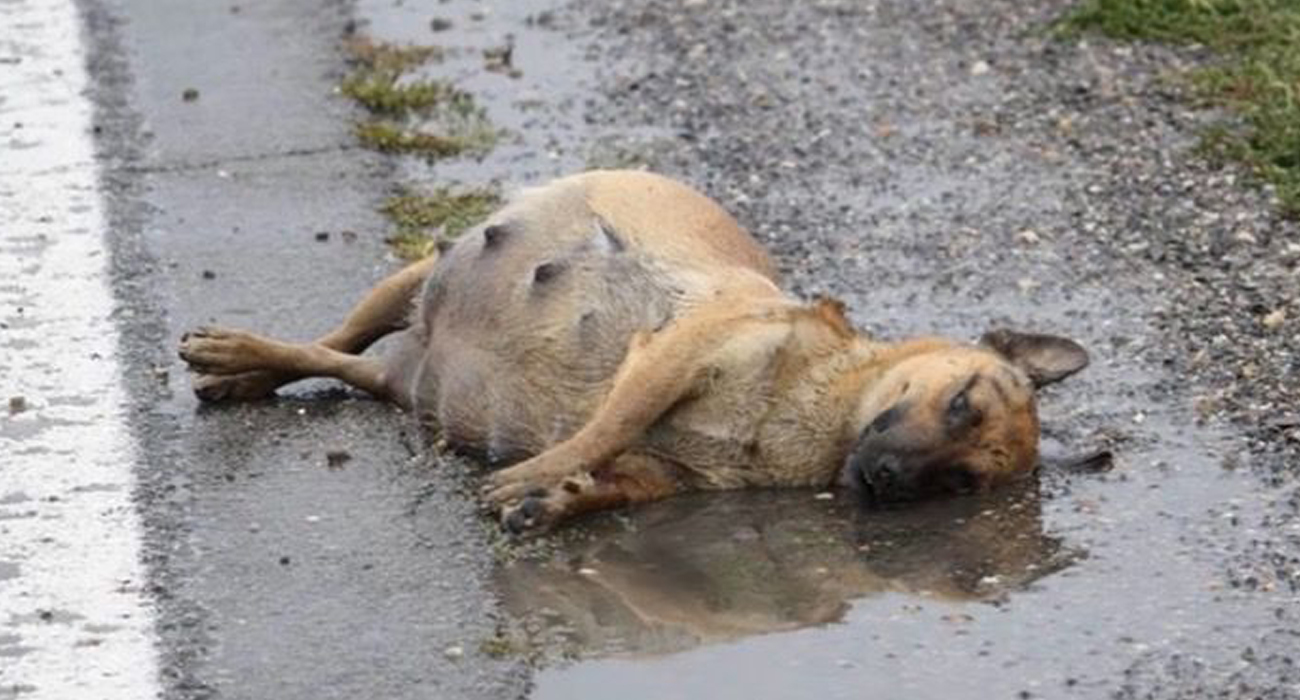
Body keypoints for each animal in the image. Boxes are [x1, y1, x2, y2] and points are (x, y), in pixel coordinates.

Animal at [175, 169, 1086, 528]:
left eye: (960, 483)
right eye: (961, 401)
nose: (890, 480)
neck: (811, 416)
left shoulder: (665, 472)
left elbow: (612, 476)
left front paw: (555, 500)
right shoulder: (670, 356)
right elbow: (602, 429)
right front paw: (534, 476)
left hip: (399, 372)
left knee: (340, 363)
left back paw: (241, 370)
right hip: (414, 278)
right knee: (328, 339)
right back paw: (235, 355)